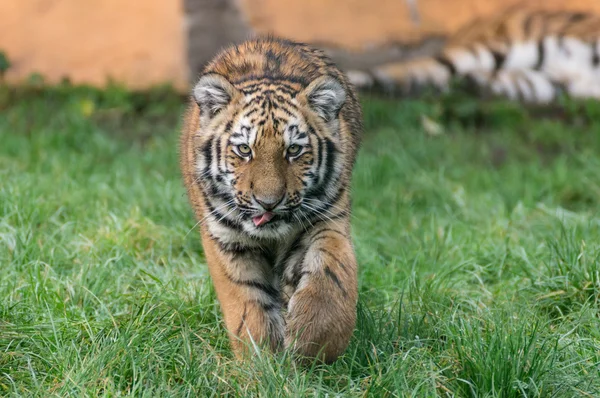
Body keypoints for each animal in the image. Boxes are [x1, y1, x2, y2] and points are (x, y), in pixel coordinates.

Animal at [179, 37, 360, 364]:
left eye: (294, 150)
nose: (268, 202)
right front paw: (260, 361)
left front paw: (314, 348)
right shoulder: (226, 238)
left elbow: (331, 274)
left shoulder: (328, 219)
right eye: (244, 149)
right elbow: (246, 301)